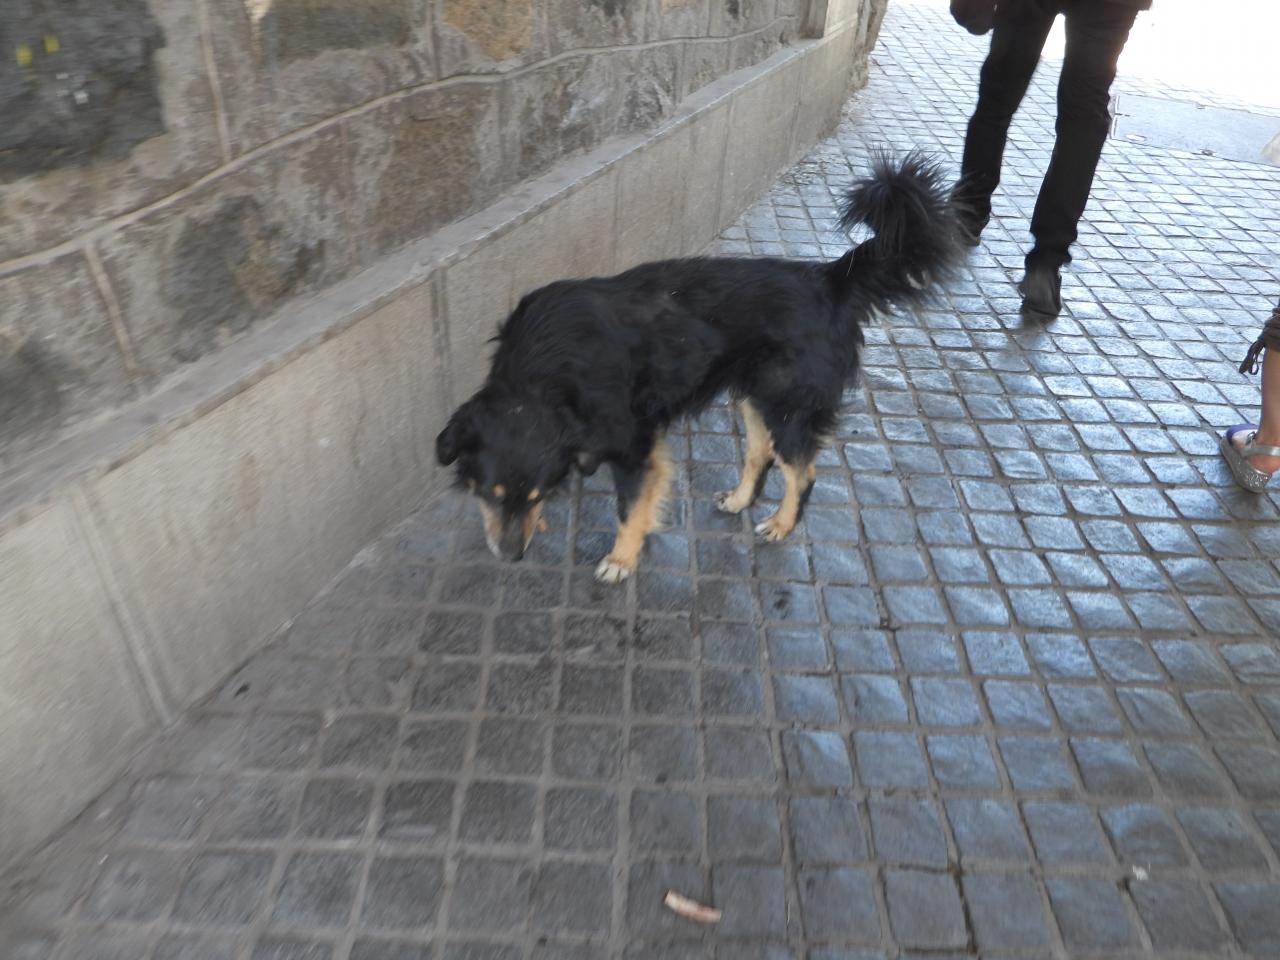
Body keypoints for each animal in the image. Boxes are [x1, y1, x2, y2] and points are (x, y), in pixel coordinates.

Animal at [437, 152, 964, 582]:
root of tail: (830, 280)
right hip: (757, 395)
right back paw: (740, 499)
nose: (512, 557)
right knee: (759, 455)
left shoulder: (634, 444)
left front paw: (622, 559)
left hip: (788, 406)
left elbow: (631, 508)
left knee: (802, 473)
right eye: (490, 494)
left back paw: (781, 524)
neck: (544, 369)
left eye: (528, 495)